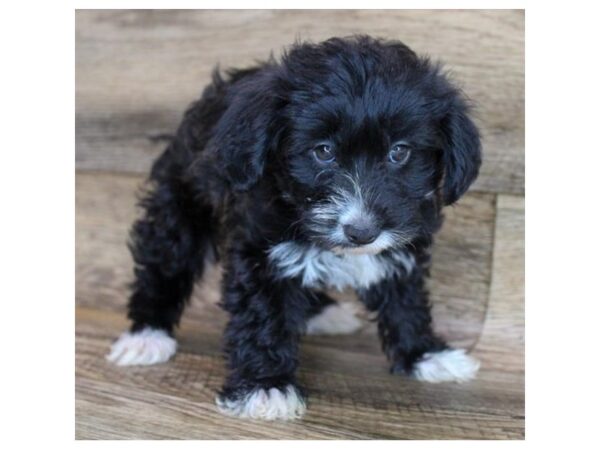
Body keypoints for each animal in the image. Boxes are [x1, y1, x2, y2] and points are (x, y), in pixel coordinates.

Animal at [108, 37, 482, 420]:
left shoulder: (402, 241)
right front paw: (265, 386)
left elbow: (404, 299)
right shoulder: (260, 252)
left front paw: (425, 353)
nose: (362, 232)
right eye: (323, 151)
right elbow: (263, 313)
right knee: (166, 263)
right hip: (180, 205)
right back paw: (147, 334)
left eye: (399, 152)